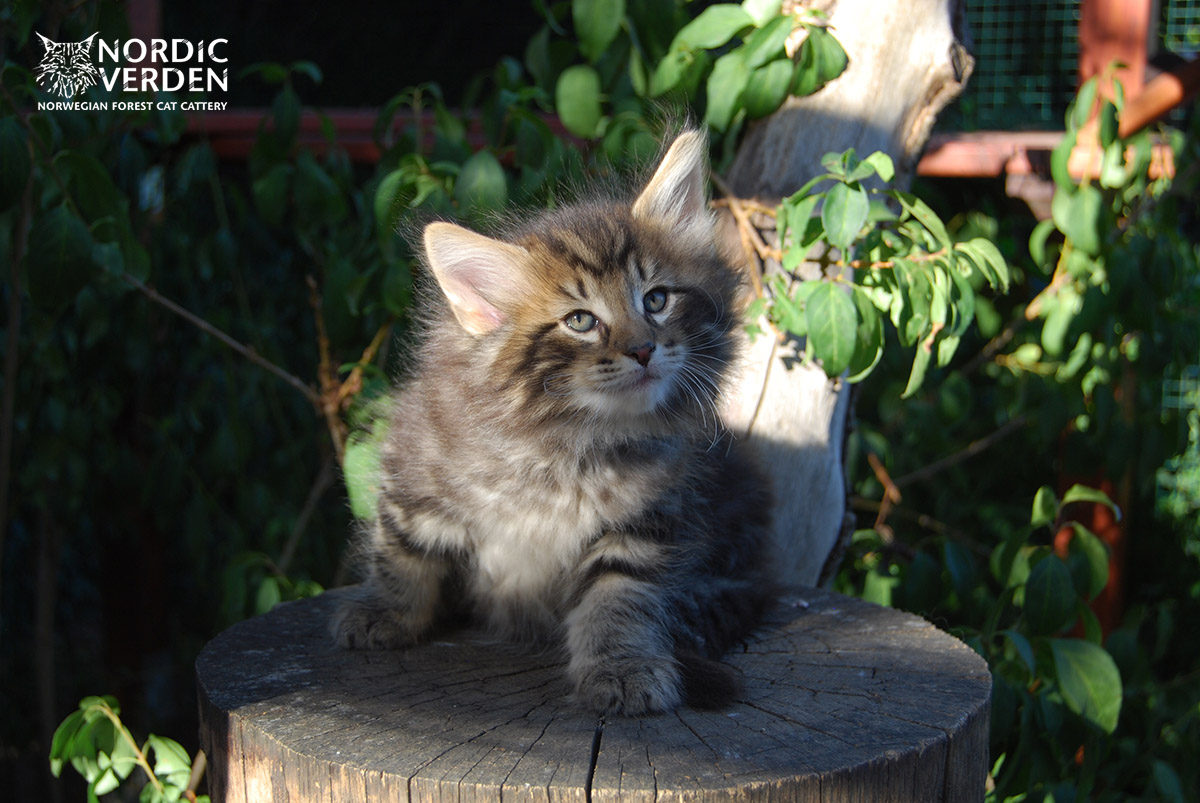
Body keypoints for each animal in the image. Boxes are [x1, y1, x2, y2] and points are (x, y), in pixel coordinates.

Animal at [332, 130, 774, 715]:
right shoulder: (413, 465)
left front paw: (621, 667)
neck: (569, 443)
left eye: (656, 299)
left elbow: (618, 598)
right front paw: (386, 610)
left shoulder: (647, 520)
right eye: (580, 321)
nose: (643, 349)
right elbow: (402, 553)